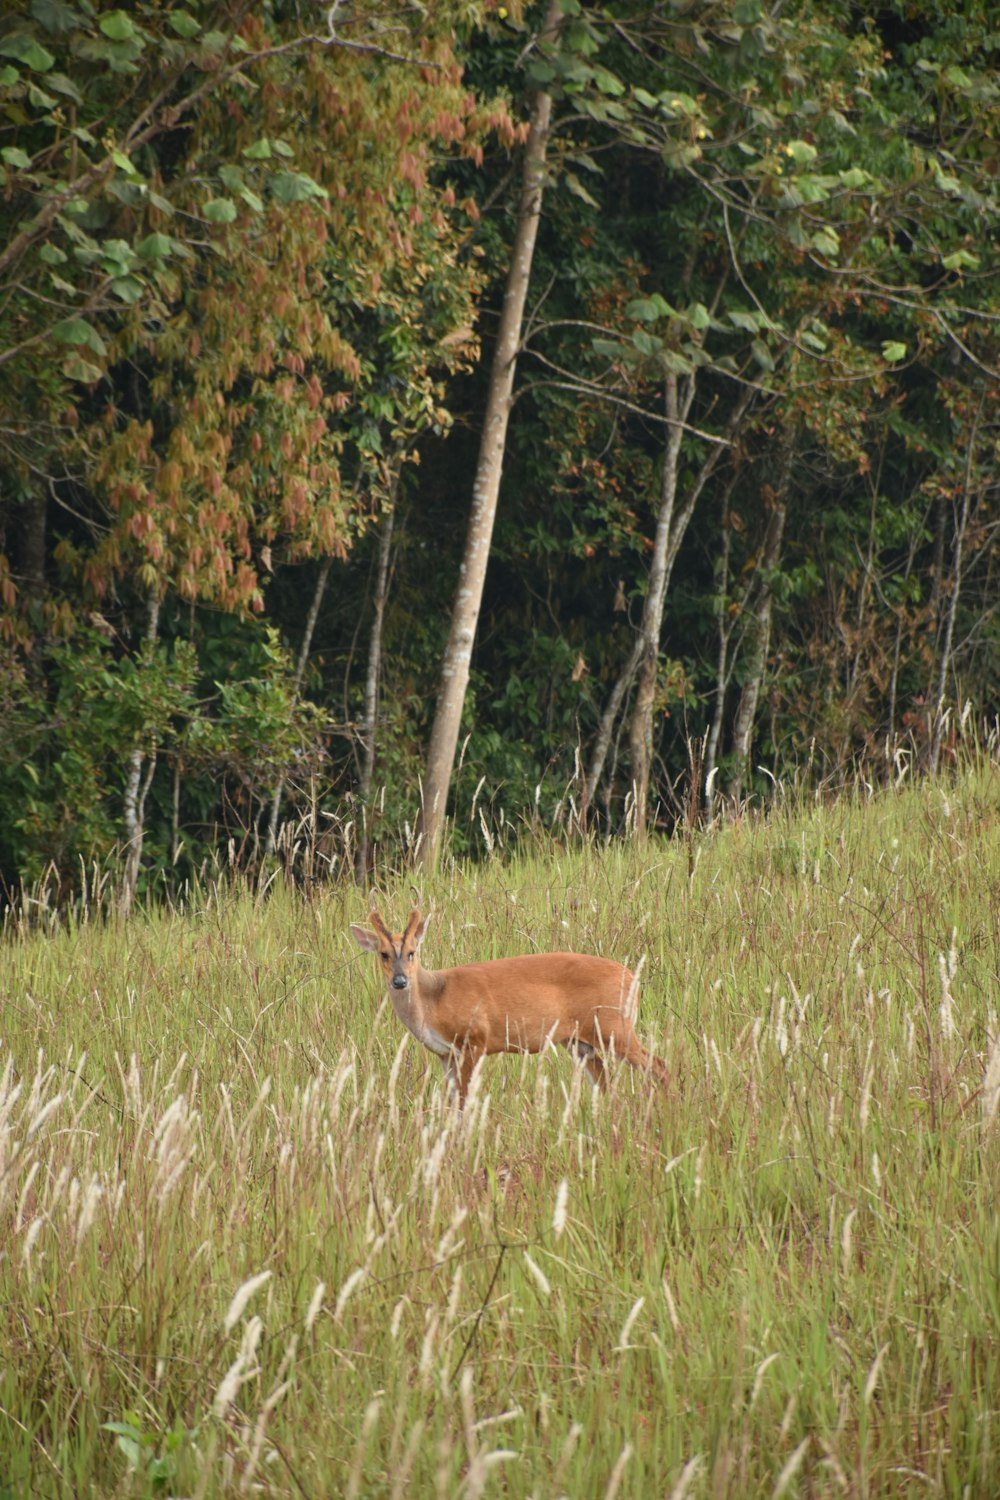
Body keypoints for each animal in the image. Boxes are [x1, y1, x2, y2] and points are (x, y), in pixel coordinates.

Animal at [352, 906, 671, 1110]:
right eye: (383, 954)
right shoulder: (445, 1053)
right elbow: (452, 1100)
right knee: (604, 1083)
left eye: (411, 952)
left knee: (658, 1064)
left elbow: (465, 1101)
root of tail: (632, 978)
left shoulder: (474, 1039)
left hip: (614, 1026)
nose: (400, 981)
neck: (434, 1000)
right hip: (579, 1041)